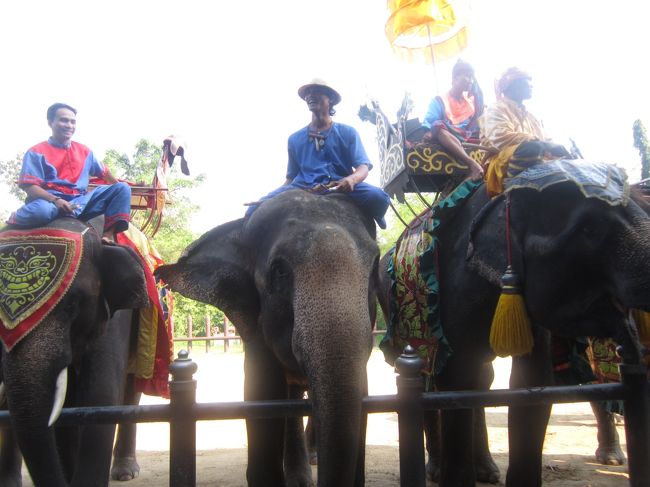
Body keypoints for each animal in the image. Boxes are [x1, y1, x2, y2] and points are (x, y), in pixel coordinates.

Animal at [0, 218, 149, 487]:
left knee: (131, 390)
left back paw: (125, 472)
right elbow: (66, 407)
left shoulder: (116, 315)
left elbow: (101, 392)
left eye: (72, 304)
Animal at [374, 163, 648, 487]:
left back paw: (487, 471)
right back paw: (438, 471)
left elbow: (531, 380)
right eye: (588, 229)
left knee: (482, 377)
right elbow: (457, 379)